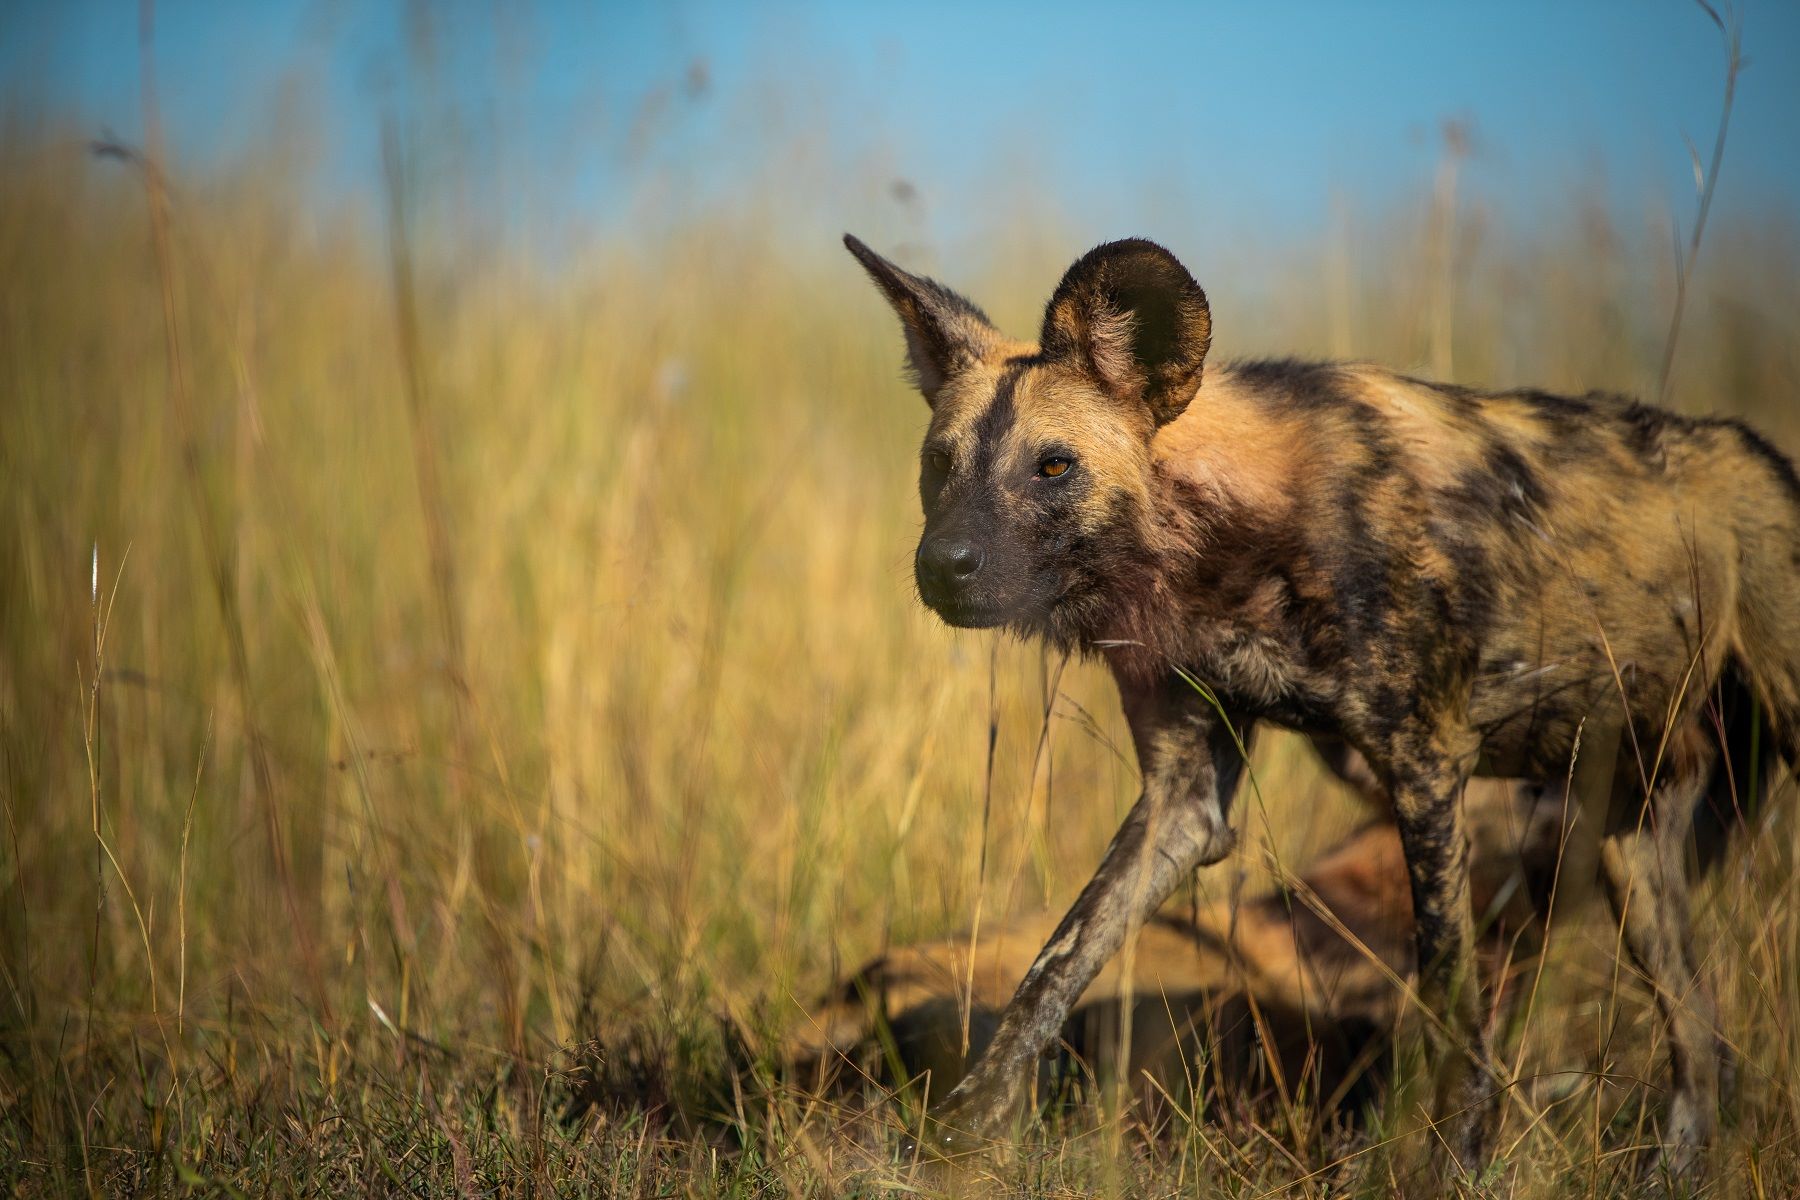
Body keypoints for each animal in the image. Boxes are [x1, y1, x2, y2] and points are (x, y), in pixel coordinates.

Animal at [842, 230, 1800, 1180]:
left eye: (1053, 467)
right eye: (939, 465)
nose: (941, 565)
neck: (1229, 538)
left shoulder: (1426, 769)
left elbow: (1452, 1000)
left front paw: (1454, 1163)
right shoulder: (1183, 802)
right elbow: (1054, 967)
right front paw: (962, 1136)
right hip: (1628, 843)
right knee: (1701, 1042)